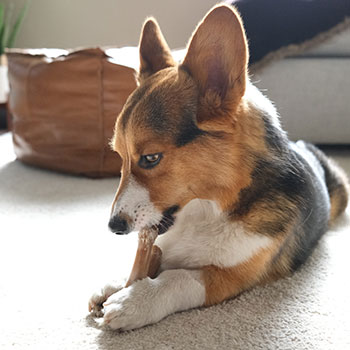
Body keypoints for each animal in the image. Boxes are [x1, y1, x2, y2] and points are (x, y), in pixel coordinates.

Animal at [88, 4, 348, 330]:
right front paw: (117, 282)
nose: (114, 226)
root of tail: (306, 146)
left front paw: (133, 300)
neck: (207, 209)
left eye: (150, 158)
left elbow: (178, 278)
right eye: (119, 156)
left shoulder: (230, 277)